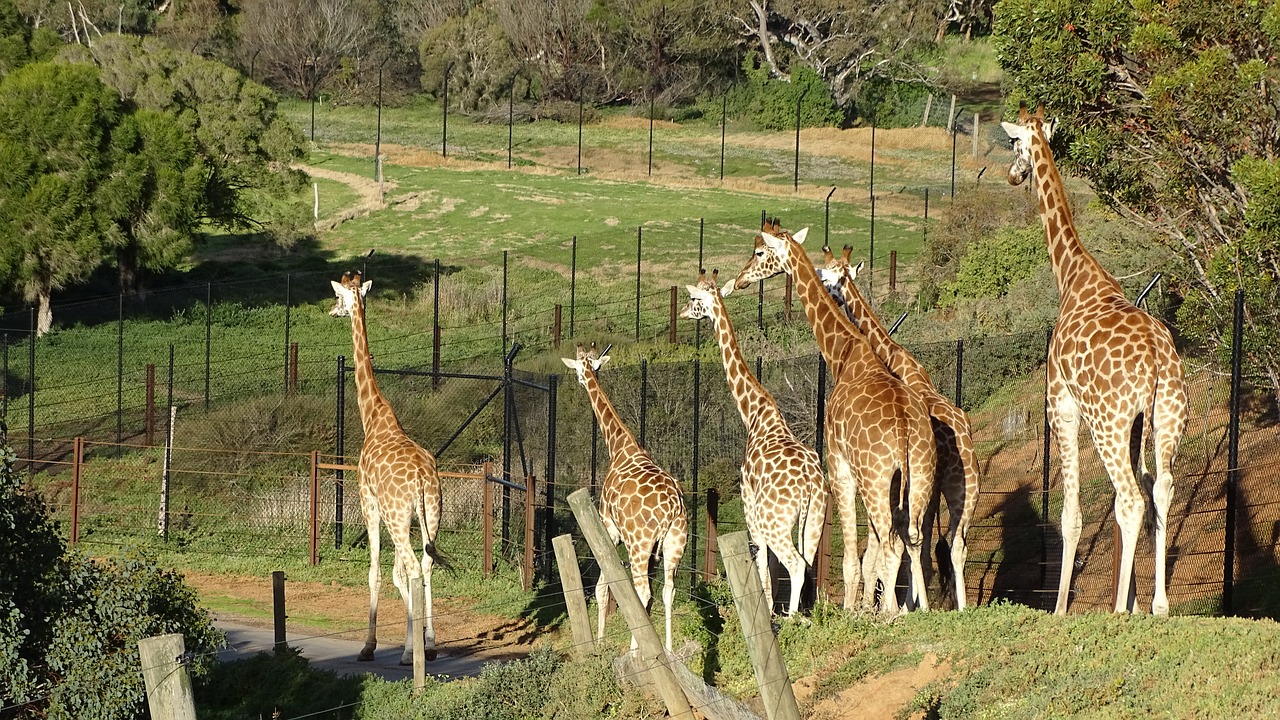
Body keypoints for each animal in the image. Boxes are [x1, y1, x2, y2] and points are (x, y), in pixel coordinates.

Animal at [555, 343, 686, 650]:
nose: (583, 380)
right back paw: (668, 648)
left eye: (580, 371)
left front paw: (600, 644)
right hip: (675, 541)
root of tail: (673, 508)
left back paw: (637, 650)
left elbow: (602, 588)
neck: (619, 447)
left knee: (643, 591)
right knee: (668, 590)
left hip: (640, 544)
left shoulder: (610, 529)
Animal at [680, 266, 829, 614]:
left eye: (694, 299)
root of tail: (808, 484)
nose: (682, 312)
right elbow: (770, 566)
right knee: (807, 561)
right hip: (814, 517)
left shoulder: (750, 508)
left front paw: (767, 608)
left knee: (796, 564)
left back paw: (791, 617)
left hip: (776, 521)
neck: (755, 414)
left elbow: (762, 563)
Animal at [727, 220, 936, 609]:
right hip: (920, 476)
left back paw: (888, 612)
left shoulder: (838, 465)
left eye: (760, 252)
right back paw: (916, 611)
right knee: (914, 539)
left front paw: (852, 611)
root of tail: (904, 428)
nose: (740, 279)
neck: (845, 354)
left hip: (875, 479)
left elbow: (852, 556)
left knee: (890, 543)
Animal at [819, 244, 977, 604]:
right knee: (954, 545)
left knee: (919, 543)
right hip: (963, 488)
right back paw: (957, 607)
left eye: (830, 279)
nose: (827, 291)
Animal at [998, 103, 1187, 614]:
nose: (1013, 174)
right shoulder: (1137, 424)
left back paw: (1118, 609)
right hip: (1165, 417)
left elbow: (1070, 514)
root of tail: (1159, 361)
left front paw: (1061, 607)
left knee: (1130, 499)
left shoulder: (1060, 405)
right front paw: (1139, 601)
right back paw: (1158, 606)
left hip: (1107, 422)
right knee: (1159, 490)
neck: (1072, 275)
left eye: (1013, 142)